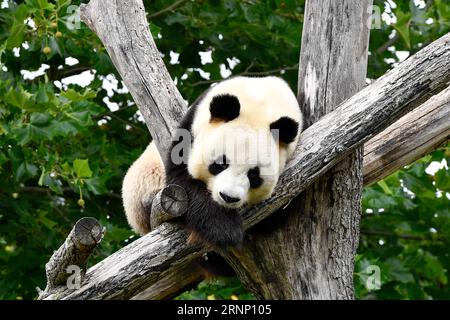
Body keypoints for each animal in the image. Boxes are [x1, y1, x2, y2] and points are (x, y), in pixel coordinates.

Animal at [122, 77, 302, 248]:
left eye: (253, 175)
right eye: (221, 163)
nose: (228, 197)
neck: (259, 102)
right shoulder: (190, 128)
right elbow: (182, 180)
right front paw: (225, 230)